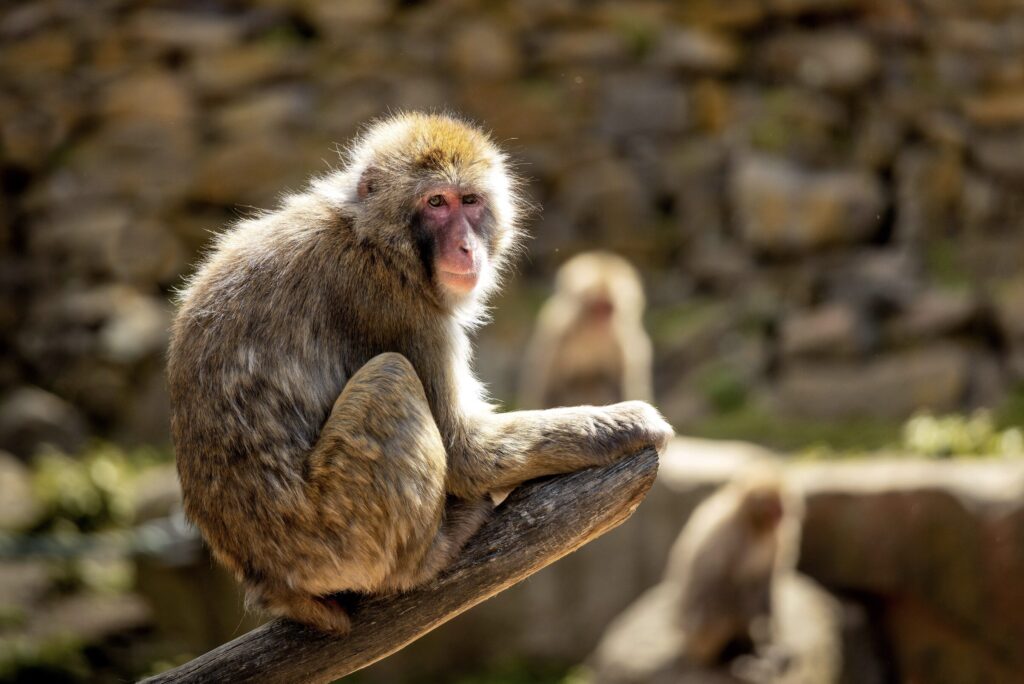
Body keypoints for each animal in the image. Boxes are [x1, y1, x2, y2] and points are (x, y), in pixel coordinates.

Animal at [518, 251, 653, 410]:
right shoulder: (561, 332)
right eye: (597, 308)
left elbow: (619, 383)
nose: (602, 321)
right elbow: (550, 383)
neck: (590, 334)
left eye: (608, 308)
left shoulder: (620, 338)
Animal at [664, 465, 801, 668]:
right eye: (773, 509)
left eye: (780, 508)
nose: (782, 517)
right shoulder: (733, 539)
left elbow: (765, 583)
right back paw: (731, 653)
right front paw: (759, 647)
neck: (755, 527)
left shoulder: (776, 541)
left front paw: (771, 642)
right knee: (722, 599)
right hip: (699, 635)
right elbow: (732, 587)